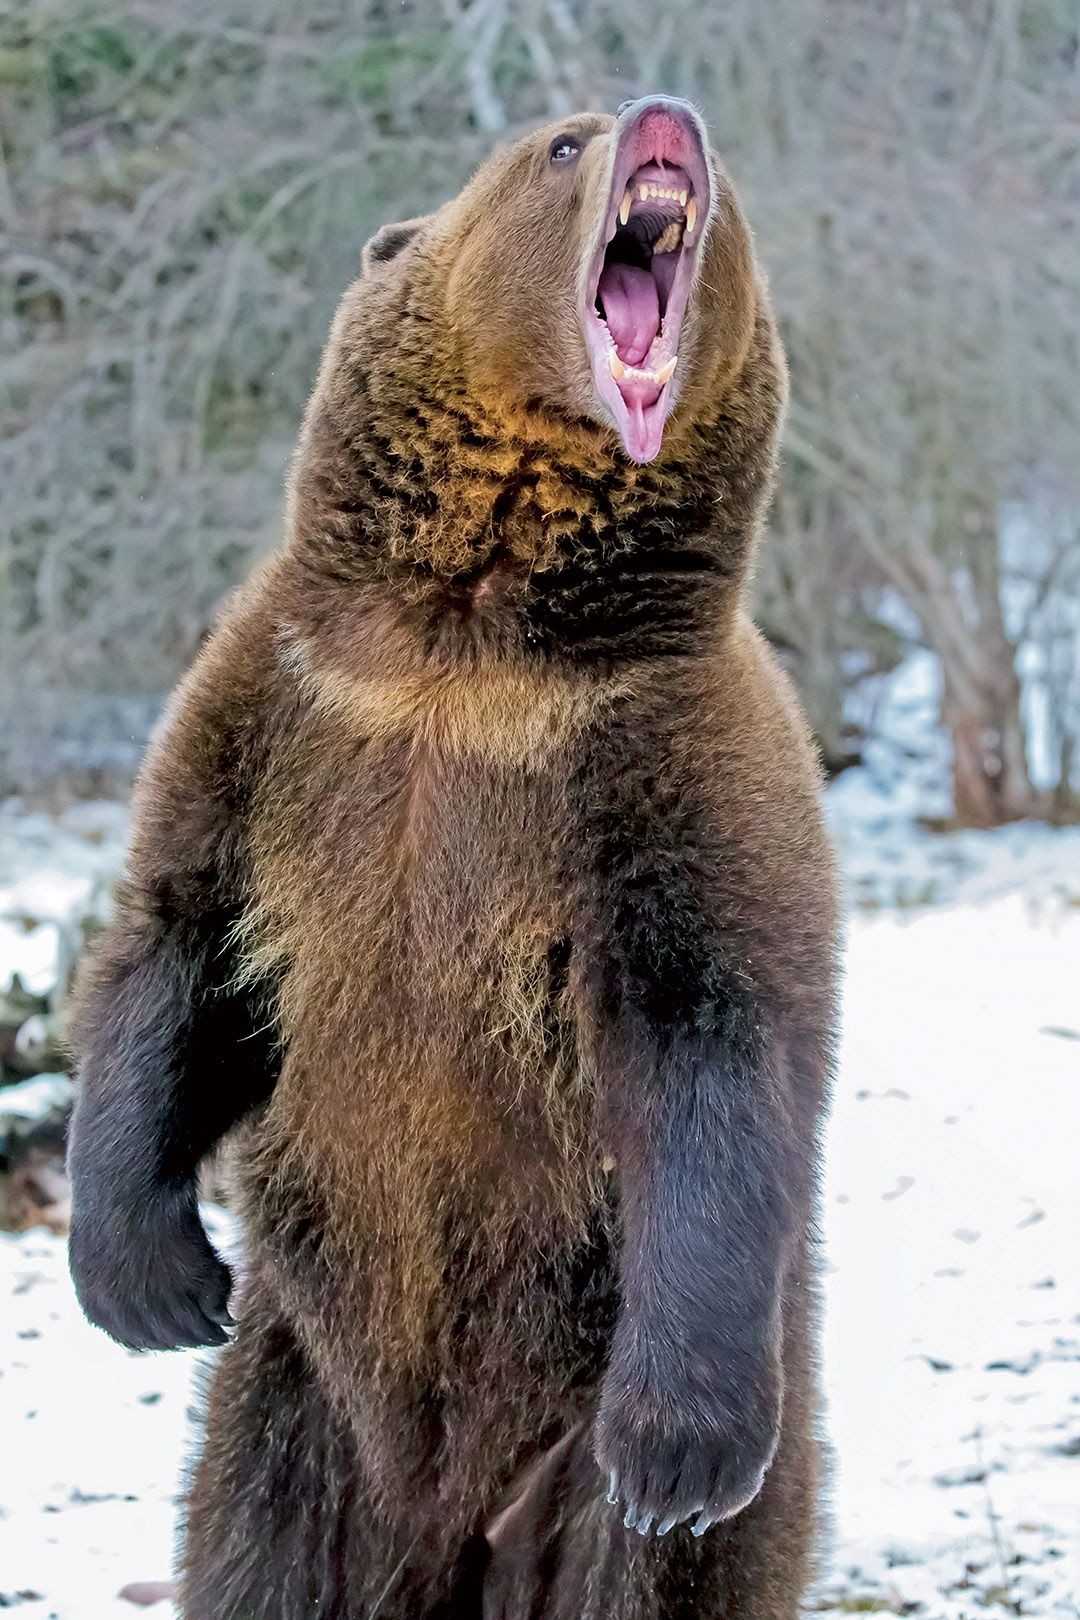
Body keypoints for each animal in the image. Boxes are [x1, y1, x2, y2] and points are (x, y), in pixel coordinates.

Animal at [67, 94, 841, 1613]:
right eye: (566, 141)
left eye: (720, 178)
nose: (668, 116)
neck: (465, 636)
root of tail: (450, 1520)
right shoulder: (284, 712)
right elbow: (182, 942)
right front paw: (150, 1281)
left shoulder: (662, 760)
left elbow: (712, 1029)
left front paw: (682, 1444)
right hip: (296, 1406)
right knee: (255, 1553)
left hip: (579, 1434)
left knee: (643, 1572)